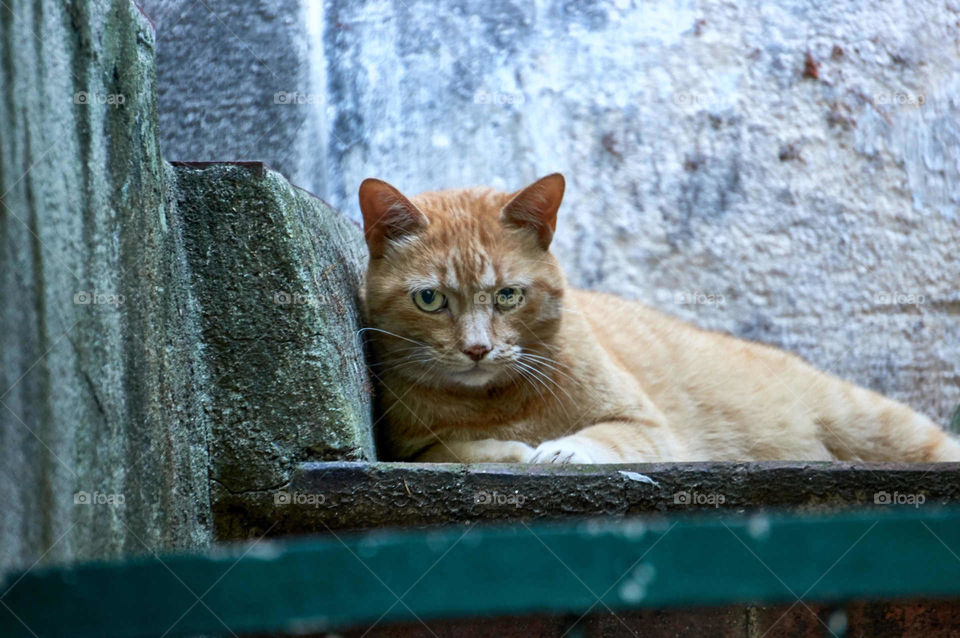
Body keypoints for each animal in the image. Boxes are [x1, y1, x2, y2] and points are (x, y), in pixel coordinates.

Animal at [358, 175, 960, 464]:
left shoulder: (648, 429)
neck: (496, 401)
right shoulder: (411, 449)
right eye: (430, 300)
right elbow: (454, 449)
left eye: (508, 296)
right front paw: (510, 451)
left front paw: (558, 449)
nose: (477, 349)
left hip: (872, 422)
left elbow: (604, 438)